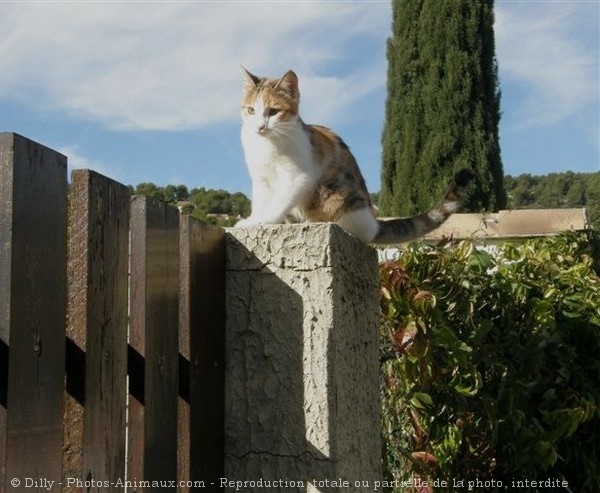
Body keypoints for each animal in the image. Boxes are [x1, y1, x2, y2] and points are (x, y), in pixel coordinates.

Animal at [234, 67, 474, 244]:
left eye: (273, 111)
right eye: (251, 110)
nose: (260, 127)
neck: (266, 145)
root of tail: (375, 223)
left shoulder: (297, 176)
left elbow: (279, 201)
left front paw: (264, 221)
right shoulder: (261, 178)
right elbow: (262, 201)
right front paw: (253, 219)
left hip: (342, 202)